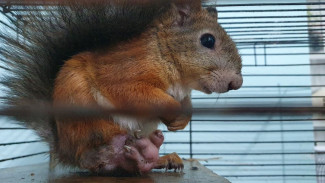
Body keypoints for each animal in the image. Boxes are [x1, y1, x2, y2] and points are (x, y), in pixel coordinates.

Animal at [0, 0, 240, 174]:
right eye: (208, 40)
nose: (237, 83)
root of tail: (63, 148)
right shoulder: (122, 75)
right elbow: (136, 94)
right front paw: (174, 113)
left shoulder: (184, 93)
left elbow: (187, 105)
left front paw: (182, 121)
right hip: (88, 119)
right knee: (93, 160)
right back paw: (116, 153)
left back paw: (155, 157)